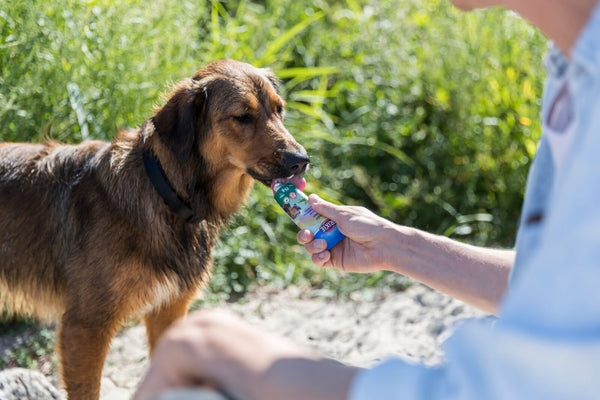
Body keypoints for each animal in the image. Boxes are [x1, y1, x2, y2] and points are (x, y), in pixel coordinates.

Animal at [0, 60, 310, 400]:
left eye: (279, 110)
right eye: (242, 116)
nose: (301, 160)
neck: (164, 192)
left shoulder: (169, 312)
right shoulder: (85, 327)